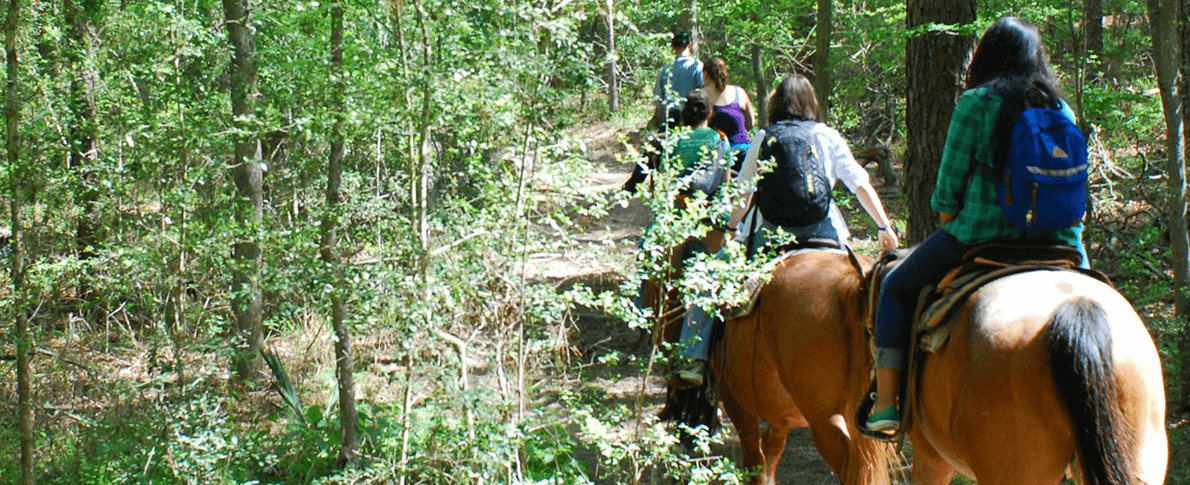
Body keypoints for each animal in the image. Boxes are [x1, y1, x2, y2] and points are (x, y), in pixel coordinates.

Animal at [656, 249, 894, 485]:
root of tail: (853, 282)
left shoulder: (734, 399)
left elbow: (755, 462)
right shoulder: (781, 418)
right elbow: (770, 455)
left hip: (824, 421)